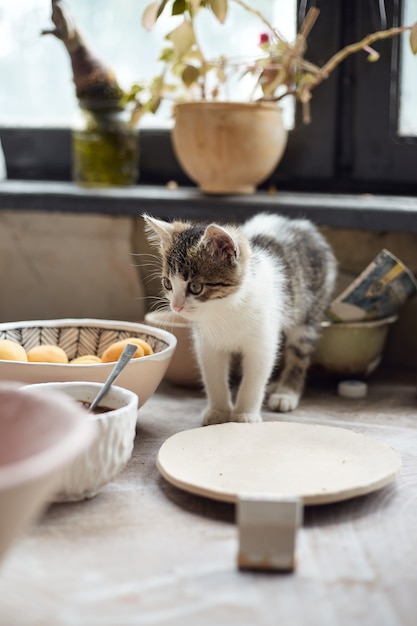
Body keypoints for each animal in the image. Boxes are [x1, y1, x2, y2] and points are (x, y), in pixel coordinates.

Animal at [143, 211, 334, 424]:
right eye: (167, 283)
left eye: (195, 287)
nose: (176, 307)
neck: (224, 309)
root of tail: (302, 225)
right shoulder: (207, 343)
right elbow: (214, 375)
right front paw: (218, 411)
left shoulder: (262, 342)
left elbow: (254, 377)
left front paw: (244, 415)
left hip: (308, 311)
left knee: (299, 353)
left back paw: (286, 393)